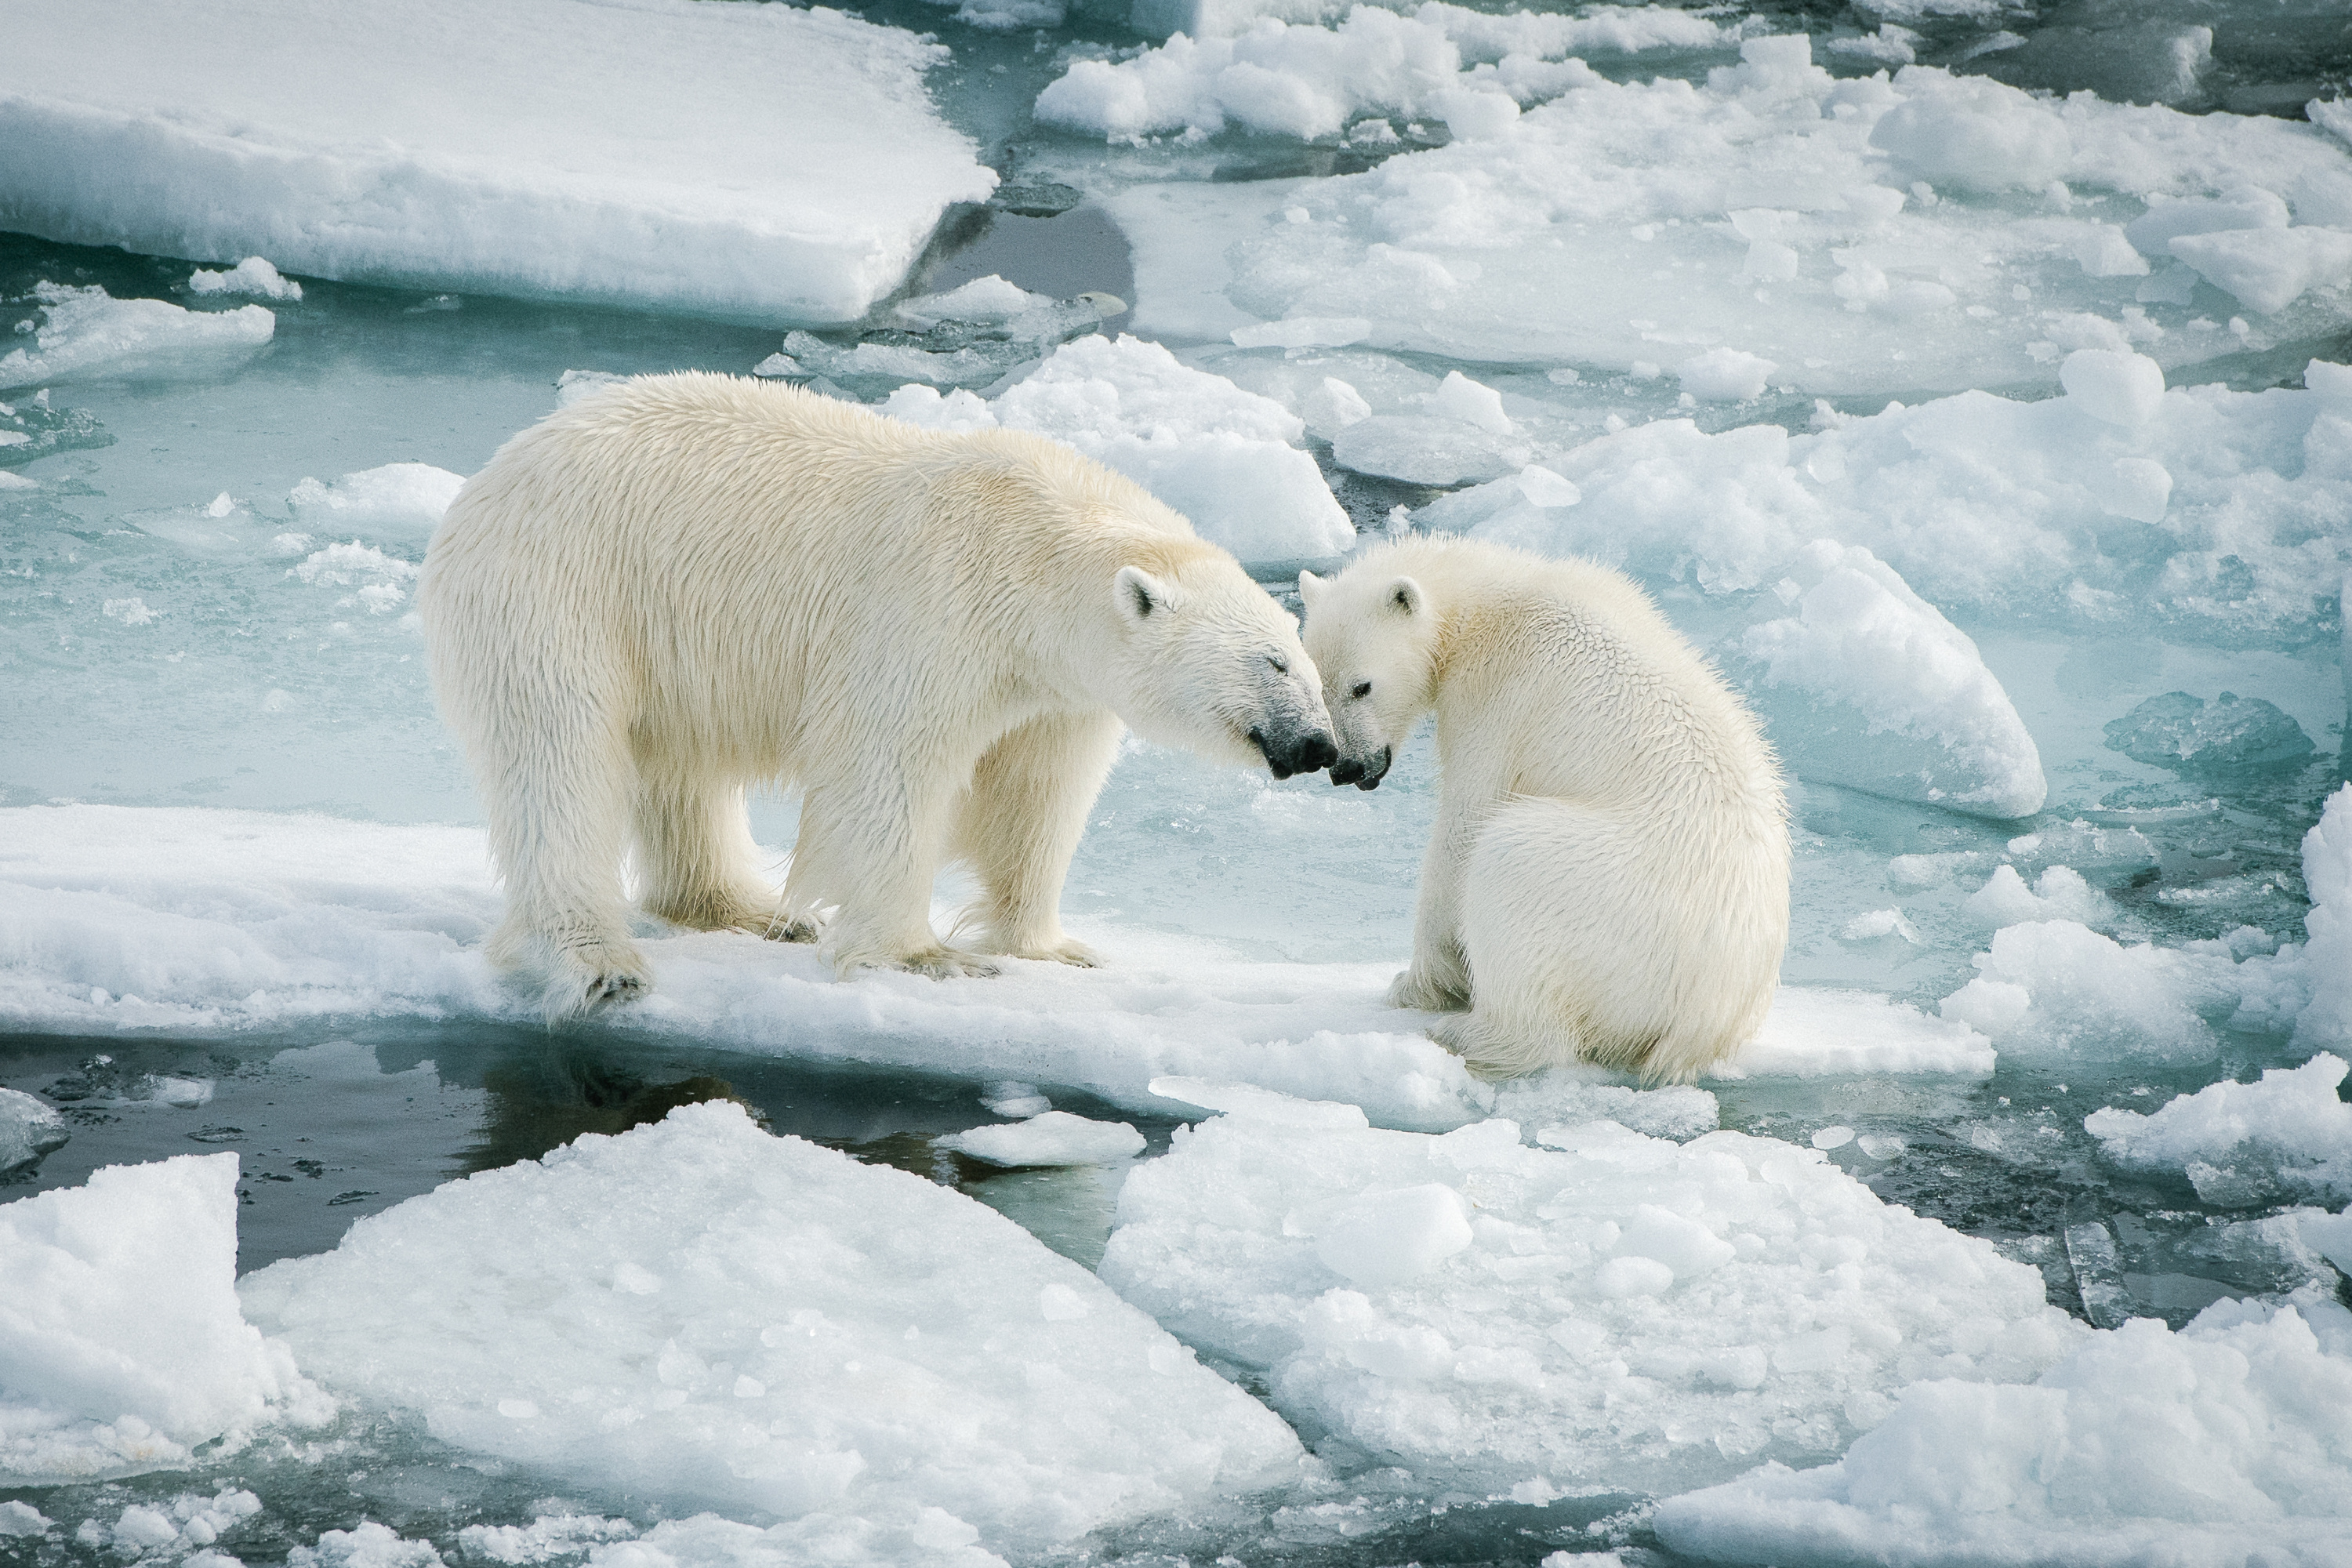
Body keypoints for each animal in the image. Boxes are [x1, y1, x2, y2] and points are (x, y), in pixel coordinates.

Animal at [426, 373, 1345, 1011]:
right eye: (1273, 662)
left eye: (1313, 670)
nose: (1321, 747)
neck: (1033, 550)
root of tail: (488, 478)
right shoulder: (932, 611)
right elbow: (887, 768)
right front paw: (927, 956)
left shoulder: (1056, 691)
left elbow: (1035, 796)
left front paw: (1051, 946)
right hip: (559, 595)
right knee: (562, 762)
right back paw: (599, 961)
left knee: (683, 766)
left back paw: (746, 908)